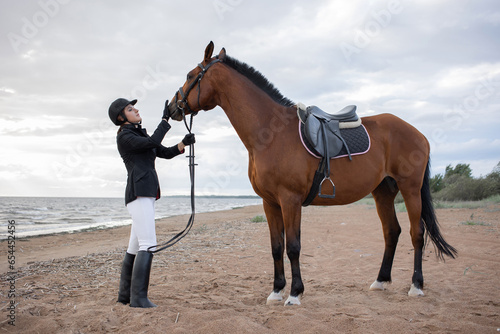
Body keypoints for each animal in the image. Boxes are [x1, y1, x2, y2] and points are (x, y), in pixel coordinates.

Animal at [166, 41, 456, 306]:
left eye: (191, 75)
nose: (170, 108)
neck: (270, 134)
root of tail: (417, 133)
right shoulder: (270, 202)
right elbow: (276, 247)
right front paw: (276, 291)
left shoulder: (290, 200)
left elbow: (293, 247)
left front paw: (294, 294)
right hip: (383, 191)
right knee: (391, 232)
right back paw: (380, 281)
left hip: (410, 189)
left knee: (416, 233)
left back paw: (416, 286)